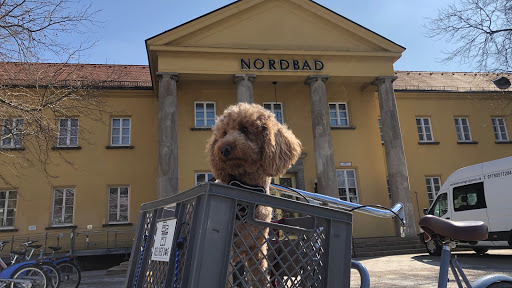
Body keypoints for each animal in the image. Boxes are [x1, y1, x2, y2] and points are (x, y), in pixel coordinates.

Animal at [207, 102, 302, 286]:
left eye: (244, 129)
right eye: (224, 133)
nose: (223, 148)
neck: (247, 188)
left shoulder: (257, 249)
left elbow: (260, 278)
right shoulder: (228, 252)